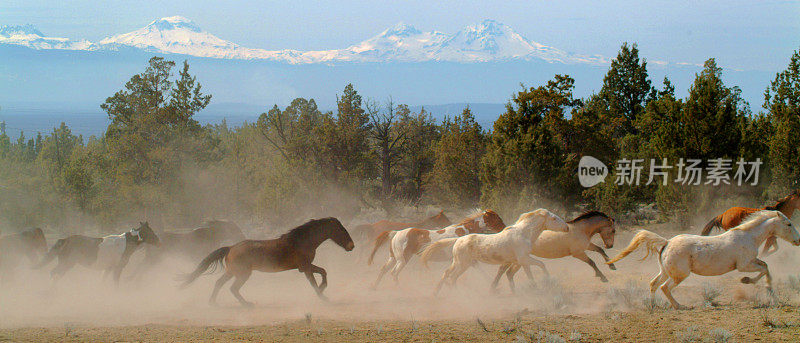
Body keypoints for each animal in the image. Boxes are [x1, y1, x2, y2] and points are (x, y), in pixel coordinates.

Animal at [184, 216, 356, 308]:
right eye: (340, 230)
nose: (351, 246)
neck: (302, 241)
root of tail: (231, 247)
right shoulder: (305, 267)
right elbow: (315, 280)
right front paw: (322, 295)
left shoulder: (305, 267)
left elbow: (323, 272)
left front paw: (322, 291)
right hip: (243, 274)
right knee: (233, 288)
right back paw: (247, 305)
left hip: (232, 272)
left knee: (219, 283)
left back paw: (213, 303)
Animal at [366, 211, 504, 288]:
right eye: (497, 218)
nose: (504, 227)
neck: (463, 231)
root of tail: (396, 233)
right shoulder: (466, 259)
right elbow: (479, 270)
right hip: (402, 259)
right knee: (393, 273)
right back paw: (398, 288)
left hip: (393, 258)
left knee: (384, 270)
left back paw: (374, 286)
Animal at [422, 210, 572, 296]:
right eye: (553, 219)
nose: (567, 227)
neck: (524, 233)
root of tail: (458, 239)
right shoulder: (524, 259)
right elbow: (540, 266)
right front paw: (546, 283)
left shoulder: (518, 261)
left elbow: (514, 273)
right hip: (463, 264)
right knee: (452, 278)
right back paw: (459, 295)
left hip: (459, 263)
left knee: (447, 274)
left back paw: (439, 292)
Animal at [608, 211, 796, 310]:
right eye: (788, 224)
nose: (798, 240)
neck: (749, 236)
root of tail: (667, 242)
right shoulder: (744, 265)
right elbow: (764, 268)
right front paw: (748, 281)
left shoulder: (752, 261)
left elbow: (766, 266)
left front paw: (770, 292)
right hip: (680, 275)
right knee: (664, 287)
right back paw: (680, 306)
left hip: (665, 272)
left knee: (653, 284)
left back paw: (653, 306)